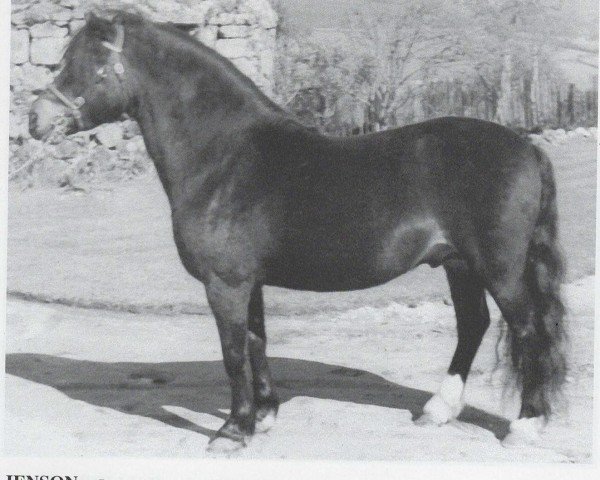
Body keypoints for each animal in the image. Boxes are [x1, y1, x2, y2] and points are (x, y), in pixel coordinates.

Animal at [29, 12, 568, 454]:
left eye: (86, 62)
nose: (35, 120)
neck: (224, 156)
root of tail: (525, 146)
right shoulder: (249, 282)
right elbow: (256, 342)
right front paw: (265, 416)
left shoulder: (225, 284)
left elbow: (232, 352)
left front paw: (233, 431)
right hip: (458, 263)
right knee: (473, 324)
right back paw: (437, 412)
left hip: (498, 269)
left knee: (527, 328)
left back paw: (524, 425)